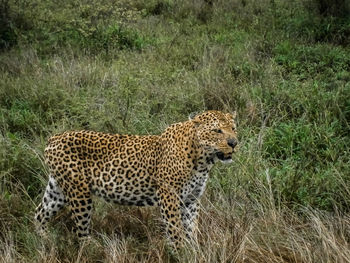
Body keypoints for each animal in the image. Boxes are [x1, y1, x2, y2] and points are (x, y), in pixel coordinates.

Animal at [34, 110, 238, 250]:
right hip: (79, 194)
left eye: (233, 129)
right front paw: (180, 252)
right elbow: (175, 229)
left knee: (39, 213)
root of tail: (54, 138)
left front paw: (193, 250)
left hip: (57, 191)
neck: (203, 160)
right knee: (81, 231)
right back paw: (92, 249)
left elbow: (191, 228)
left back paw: (44, 241)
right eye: (217, 131)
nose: (234, 143)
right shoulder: (169, 196)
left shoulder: (191, 200)